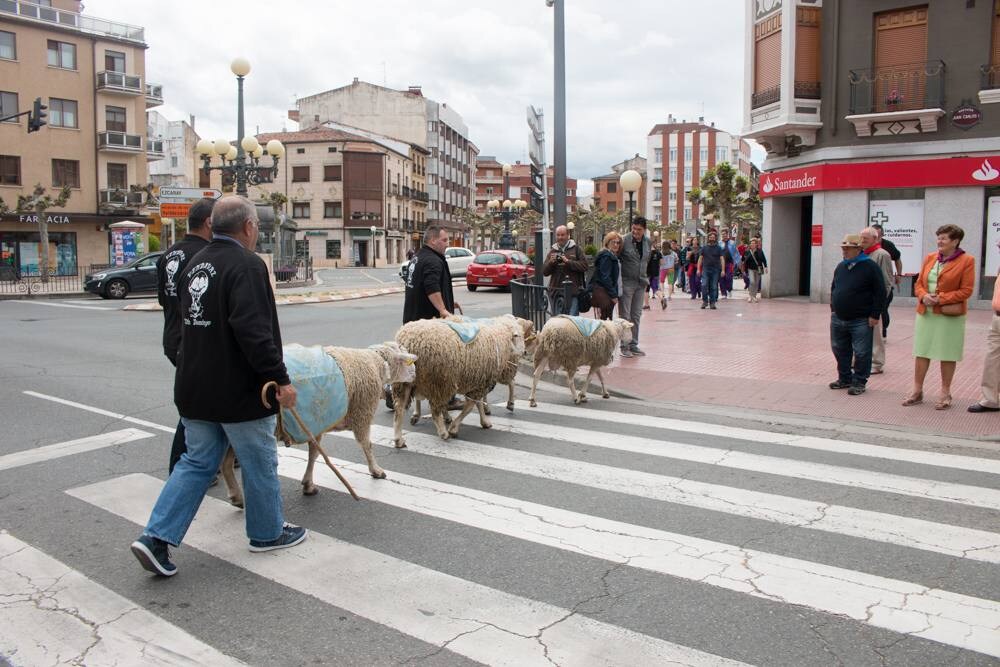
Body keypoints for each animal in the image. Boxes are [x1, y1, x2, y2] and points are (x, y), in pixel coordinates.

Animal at [221, 342, 416, 508]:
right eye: (407, 361)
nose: (415, 375)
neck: (376, 364)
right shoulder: (362, 413)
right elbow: (367, 445)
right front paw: (376, 470)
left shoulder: (316, 424)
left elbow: (313, 454)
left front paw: (308, 484)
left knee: (225, 463)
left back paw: (236, 496)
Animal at [392, 316, 528, 446]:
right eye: (519, 336)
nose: (525, 352)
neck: (499, 337)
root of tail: (412, 342)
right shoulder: (480, 382)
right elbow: (469, 407)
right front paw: (454, 429)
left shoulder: (478, 382)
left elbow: (478, 403)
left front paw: (484, 421)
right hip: (439, 381)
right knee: (434, 410)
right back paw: (443, 432)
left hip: (405, 381)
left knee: (399, 408)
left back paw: (399, 439)